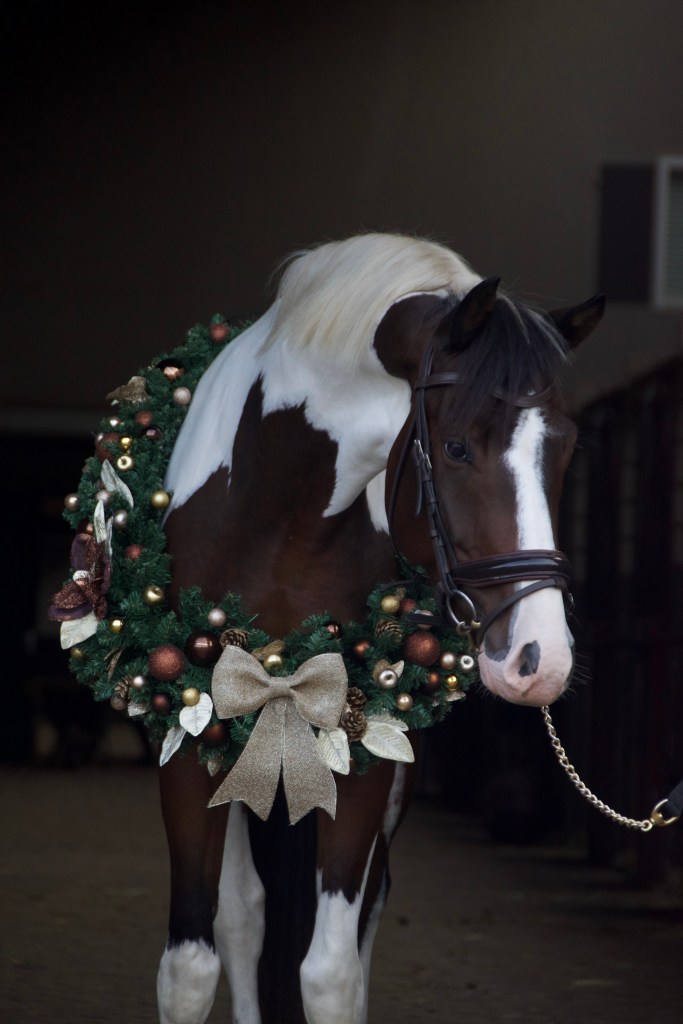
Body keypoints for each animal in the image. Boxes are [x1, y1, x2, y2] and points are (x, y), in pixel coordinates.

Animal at [125, 233, 604, 1023]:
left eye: (564, 447)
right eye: (457, 448)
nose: (540, 659)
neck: (278, 520)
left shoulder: (363, 753)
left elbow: (331, 972)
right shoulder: (184, 739)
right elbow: (190, 966)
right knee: (243, 915)